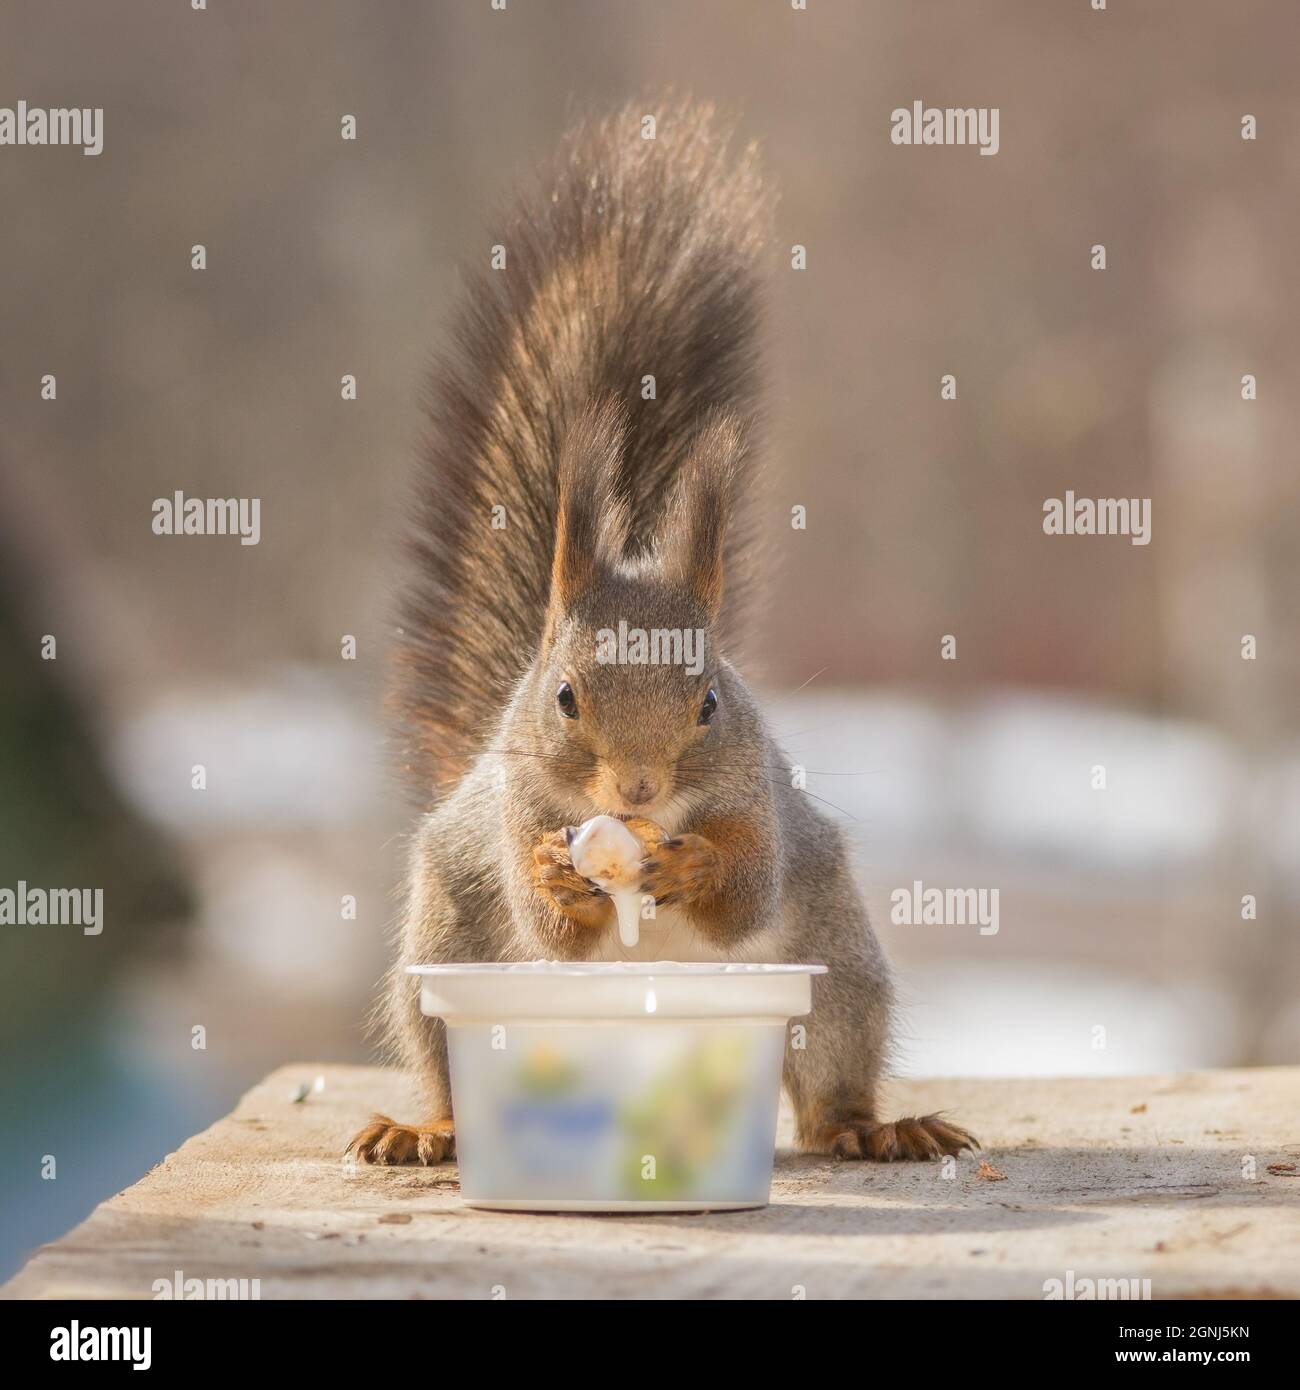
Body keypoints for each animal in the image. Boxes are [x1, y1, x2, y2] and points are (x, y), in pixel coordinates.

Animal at [348, 101, 977, 1167]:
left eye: (711, 701)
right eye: (565, 696)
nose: (638, 790)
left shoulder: (758, 795)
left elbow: (747, 889)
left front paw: (697, 865)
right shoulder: (520, 808)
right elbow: (549, 930)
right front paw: (557, 877)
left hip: (837, 973)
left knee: (827, 1091)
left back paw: (877, 1126)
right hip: (440, 954)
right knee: (442, 1059)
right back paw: (426, 1129)